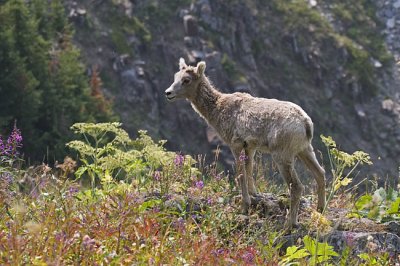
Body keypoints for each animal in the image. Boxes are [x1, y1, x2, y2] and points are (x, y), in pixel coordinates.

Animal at [165, 58, 324, 229]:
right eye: (175, 76)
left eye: (186, 80)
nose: (168, 93)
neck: (218, 108)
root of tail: (305, 122)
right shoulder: (250, 147)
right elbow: (249, 170)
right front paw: (255, 194)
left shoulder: (236, 145)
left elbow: (241, 174)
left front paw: (244, 206)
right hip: (305, 150)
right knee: (320, 173)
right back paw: (320, 211)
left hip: (282, 155)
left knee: (296, 186)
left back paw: (290, 224)